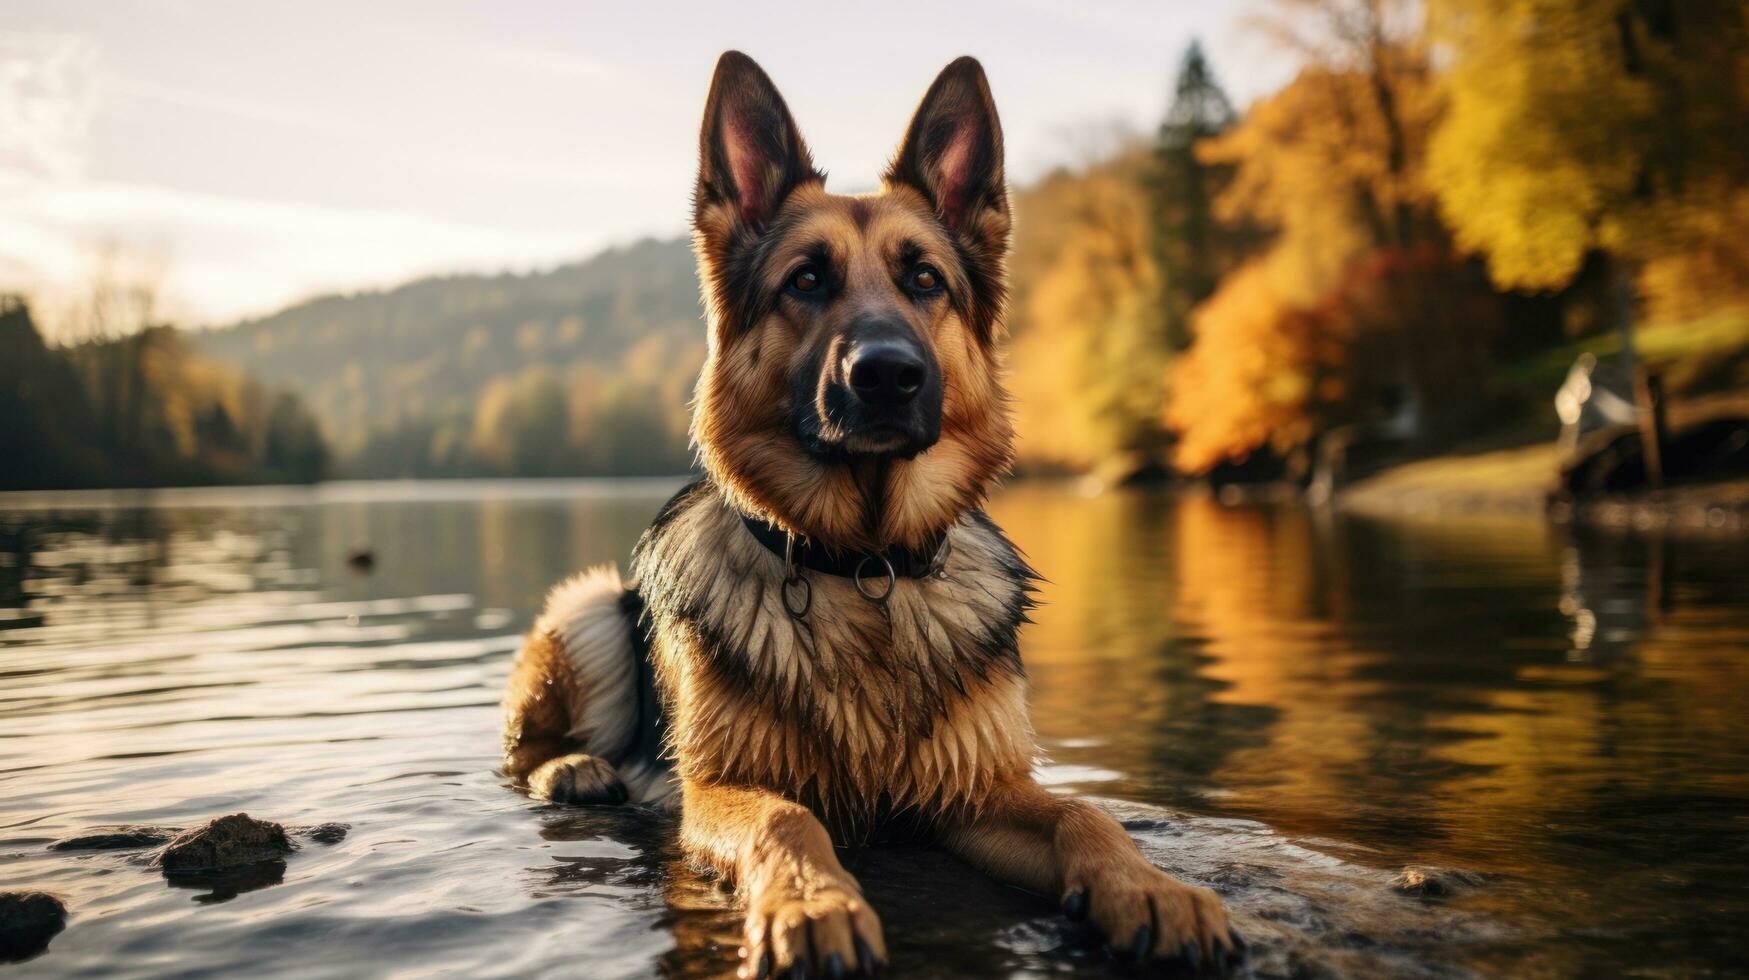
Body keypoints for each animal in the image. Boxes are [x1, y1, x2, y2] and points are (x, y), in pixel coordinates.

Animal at [507, 51, 1245, 973]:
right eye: (805, 279)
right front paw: (813, 902)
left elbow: (1087, 812)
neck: (863, 567)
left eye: (924, 279)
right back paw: (571, 768)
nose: (887, 374)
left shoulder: (978, 790)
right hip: (589, 605)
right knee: (523, 747)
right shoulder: (715, 790)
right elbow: (789, 817)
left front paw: (1149, 888)